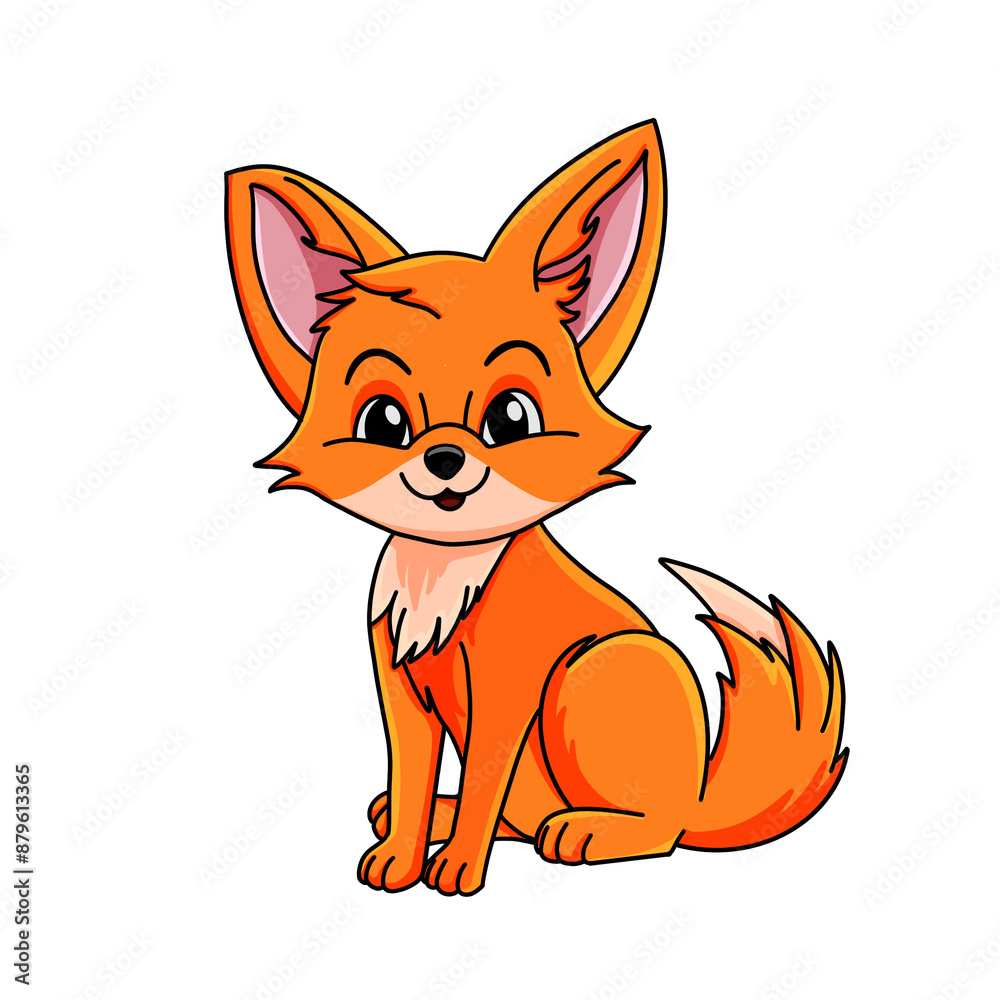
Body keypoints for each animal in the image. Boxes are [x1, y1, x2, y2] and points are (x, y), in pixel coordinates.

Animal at [225, 120, 847, 896]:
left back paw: (587, 831)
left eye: (510, 418)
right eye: (384, 422)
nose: (444, 457)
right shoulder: (400, 686)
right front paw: (402, 854)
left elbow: (484, 783)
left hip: (593, 670)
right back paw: (439, 815)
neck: (442, 575)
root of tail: (702, 796)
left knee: (656, 832)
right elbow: (411, 774)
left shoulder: (508, 689)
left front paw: (457, 868)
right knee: (511, 816)